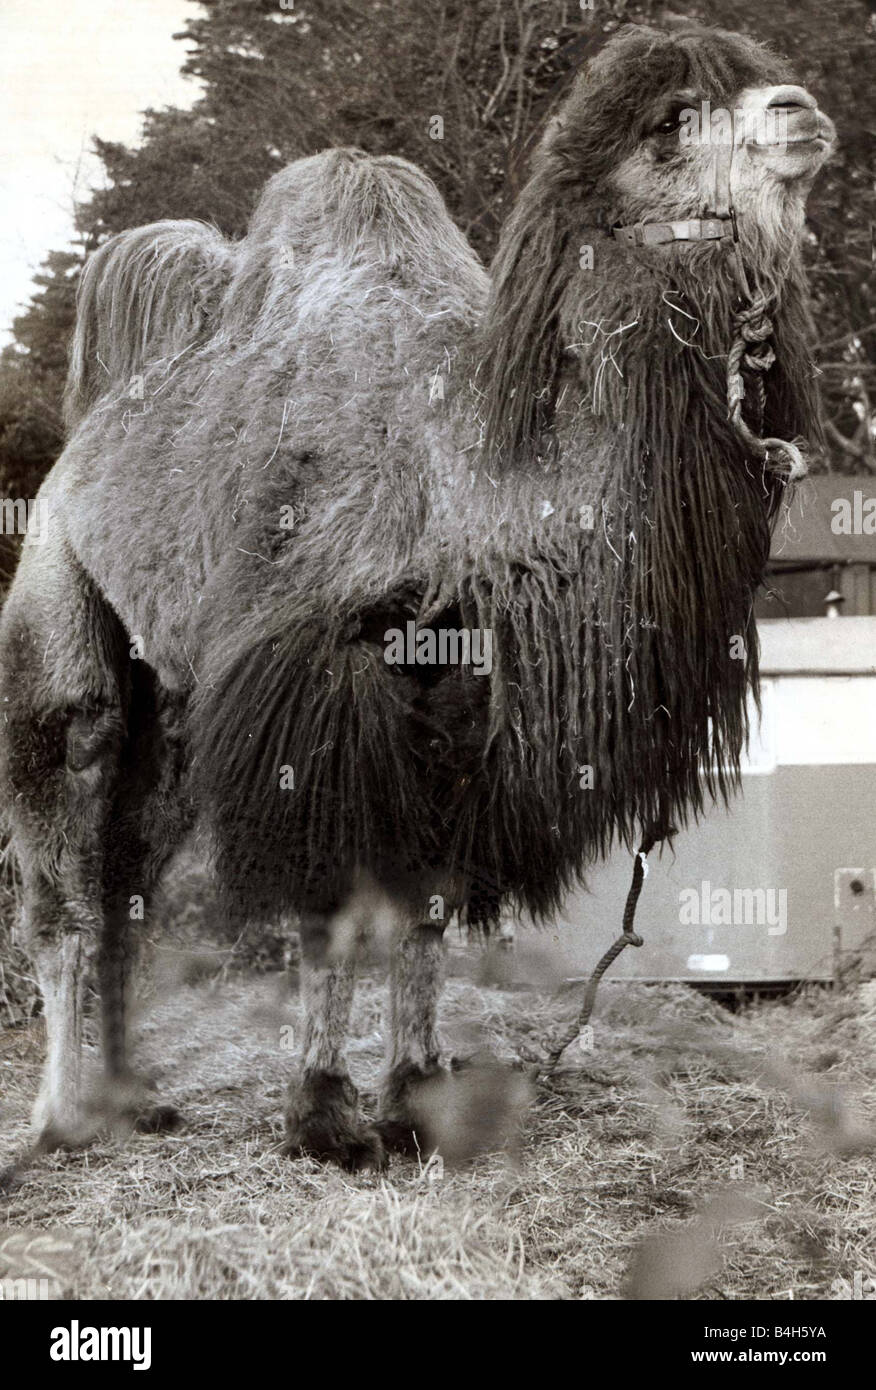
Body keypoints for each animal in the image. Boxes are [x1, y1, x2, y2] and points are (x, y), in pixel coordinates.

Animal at [0, 24, 839, 1173]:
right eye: (671, 123)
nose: (807, 114)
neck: (471, 473)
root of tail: (79, 445)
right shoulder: (316, 678)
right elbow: (331, 902)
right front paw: (322, 1116)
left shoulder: (461, 690)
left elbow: (428, 897)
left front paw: (413, 1100)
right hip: (56, 606)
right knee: (65, 863)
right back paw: (60, 1118)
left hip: (168, 698)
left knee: (134, 864)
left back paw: (138, 1097)